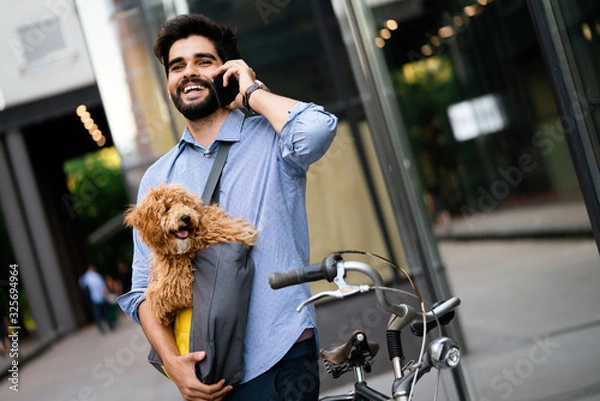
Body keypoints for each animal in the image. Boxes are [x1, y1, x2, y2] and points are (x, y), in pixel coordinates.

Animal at [124, 183, 258, 326]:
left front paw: (162, 313)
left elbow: (155, 295)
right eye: (167, 208)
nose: (186, 217)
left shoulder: (182, 283)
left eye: (185, 204)